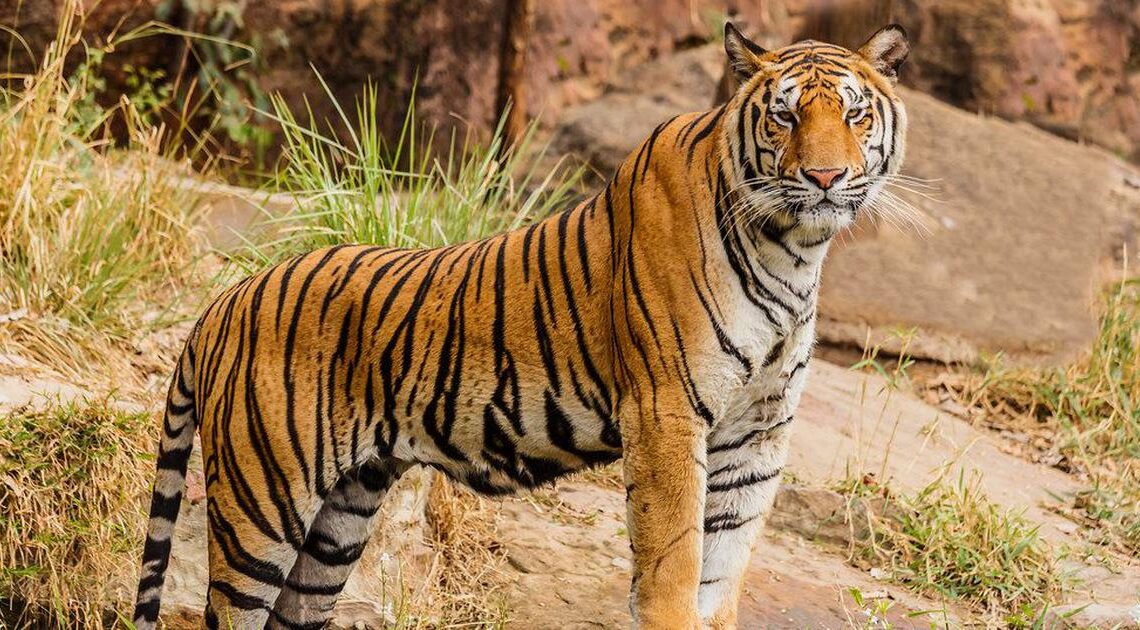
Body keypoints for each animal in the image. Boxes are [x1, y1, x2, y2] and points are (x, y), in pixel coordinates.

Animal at [132, 22, 909, 630]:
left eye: (854, 116)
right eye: (785, 117)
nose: (824, 178)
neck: (794, 250)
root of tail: (223, 302)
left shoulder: (758, 433)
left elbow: (722, 571)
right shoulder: (666, 413)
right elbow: (674, 564)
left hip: (339, 521)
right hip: (262, 504)